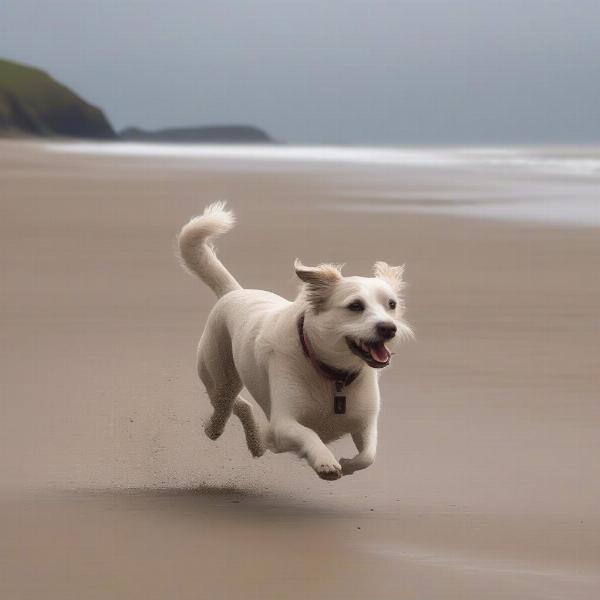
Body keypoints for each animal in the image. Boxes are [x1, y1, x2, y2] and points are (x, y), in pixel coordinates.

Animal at [178, 204, 412, 480]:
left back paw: (256, 444)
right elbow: (308, 434)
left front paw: (346, 465)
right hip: (219, 375)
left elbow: (368, 456)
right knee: (226, 403)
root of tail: (234, 292)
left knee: (240, 405)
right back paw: (218, 429)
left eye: (392, 305)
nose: (389, 328)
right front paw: (325, 461)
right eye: (355, 306)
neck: (333, 376)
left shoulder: (365, 423)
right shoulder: (284, 422)